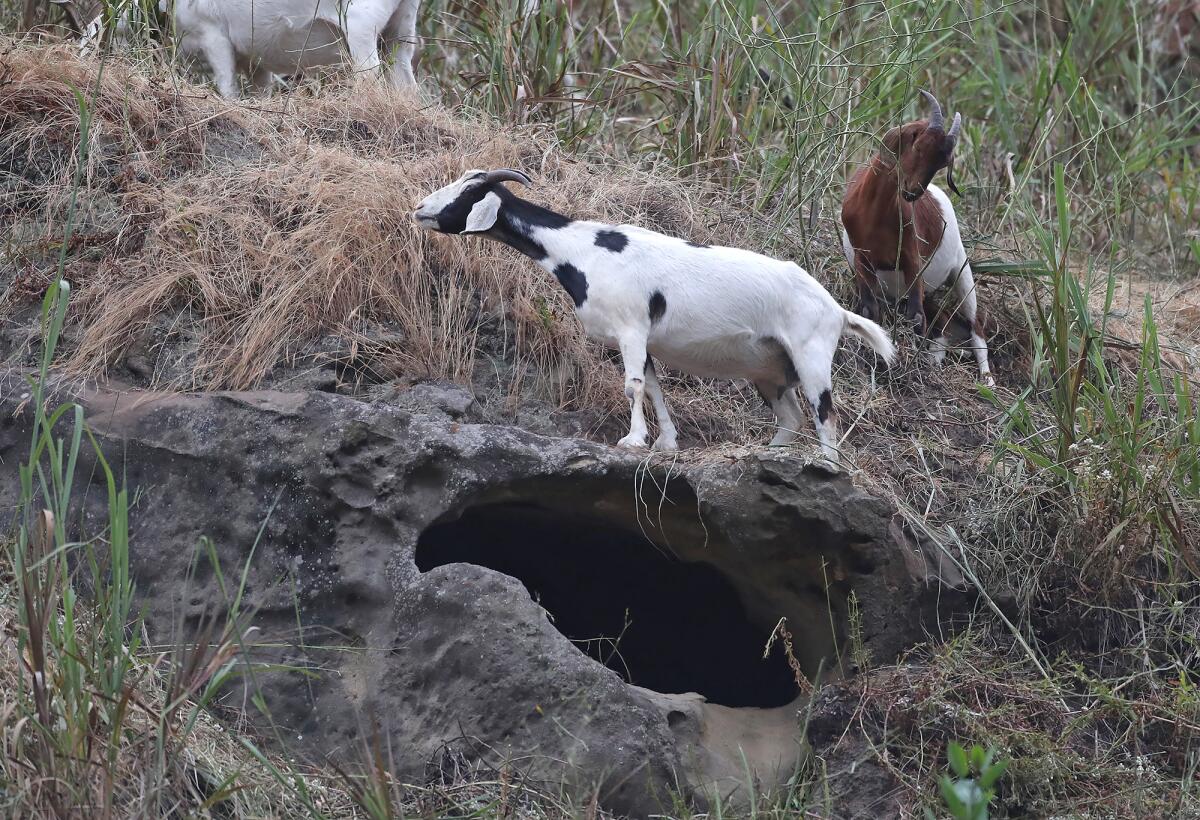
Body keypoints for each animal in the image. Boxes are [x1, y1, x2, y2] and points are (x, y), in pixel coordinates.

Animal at [417, 170, 897, 465]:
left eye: (467, 193)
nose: (420, 209)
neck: (583, 249)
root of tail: (837, 310)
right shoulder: (641, 340)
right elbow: (653, 387)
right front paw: (666, 442)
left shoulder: (632, 327)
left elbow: (631, 386)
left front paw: (632, 440)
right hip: (771, 371)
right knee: (792, 418)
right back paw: (769, 455)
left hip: (811, 355)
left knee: (824, 414)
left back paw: (827, 464)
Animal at [835, 91, 993, 386]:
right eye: (918, 146)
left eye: (942, 162)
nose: (912, 193)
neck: (874, 213)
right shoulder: (862, 259)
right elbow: (870, 311)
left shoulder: (911, 260)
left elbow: (915, 318)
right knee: (942, 319)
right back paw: (935, 359)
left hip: (961, 275)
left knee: (975, 326)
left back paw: (986, 379)